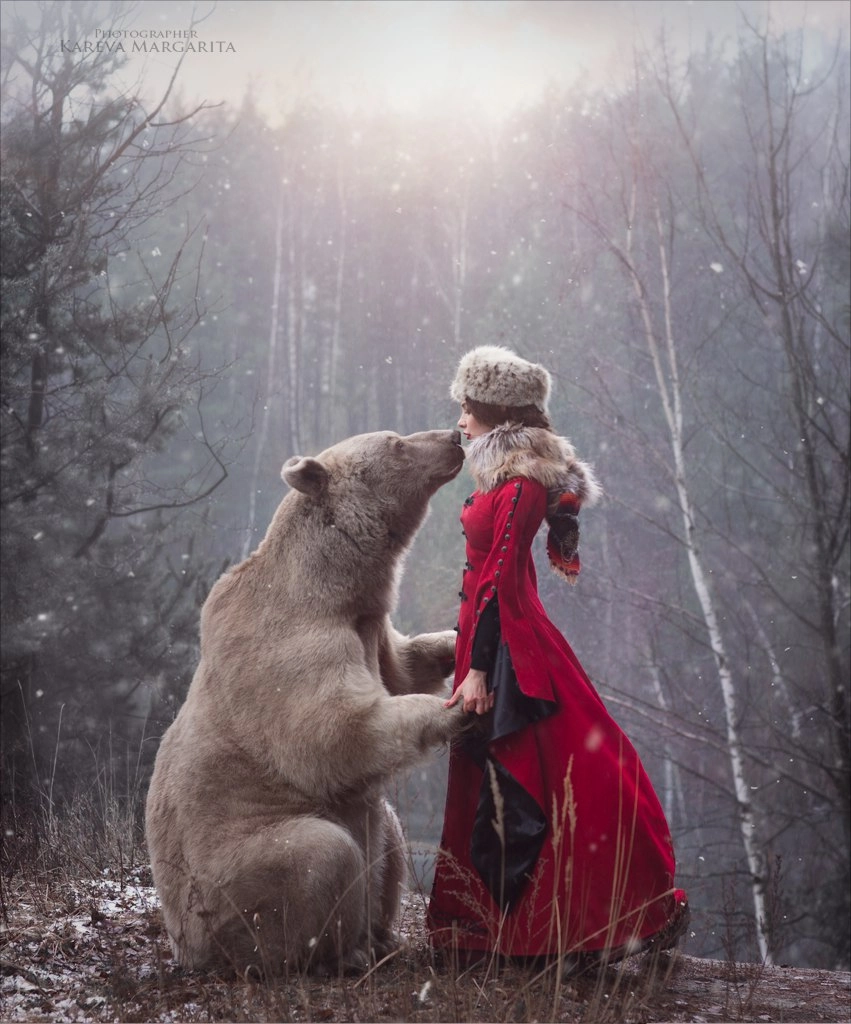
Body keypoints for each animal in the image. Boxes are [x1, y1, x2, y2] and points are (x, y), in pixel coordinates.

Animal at [145, 428, 466, 970]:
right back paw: (342, 952)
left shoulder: (368, 629)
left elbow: (401, 670)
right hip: (230, 881)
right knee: (323, 853)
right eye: (397, 442)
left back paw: (382, 937)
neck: (333, 587)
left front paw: (456, 641)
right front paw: (461, 706)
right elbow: (335, 732)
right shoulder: (291, 645)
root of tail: (185, 947)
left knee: (390, 836)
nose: (455, 436)